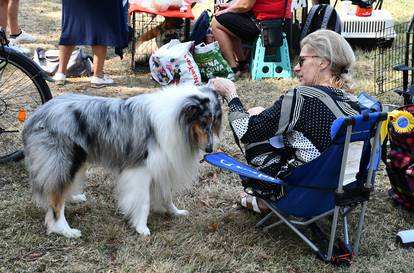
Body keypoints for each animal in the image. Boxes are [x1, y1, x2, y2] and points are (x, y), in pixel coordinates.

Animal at [21, 84, 223, 237]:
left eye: (213, 122)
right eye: (203, 121)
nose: (210, 149)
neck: (177, 119)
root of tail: (36, 115)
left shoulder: (162, 166)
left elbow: (166, 196)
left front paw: (175, 212)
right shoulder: (141, 170)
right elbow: (144, 202)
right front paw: (142, 228)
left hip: (76, 160)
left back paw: (74, 197)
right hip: (65, 160)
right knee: (56, 201)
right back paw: (65, 230)